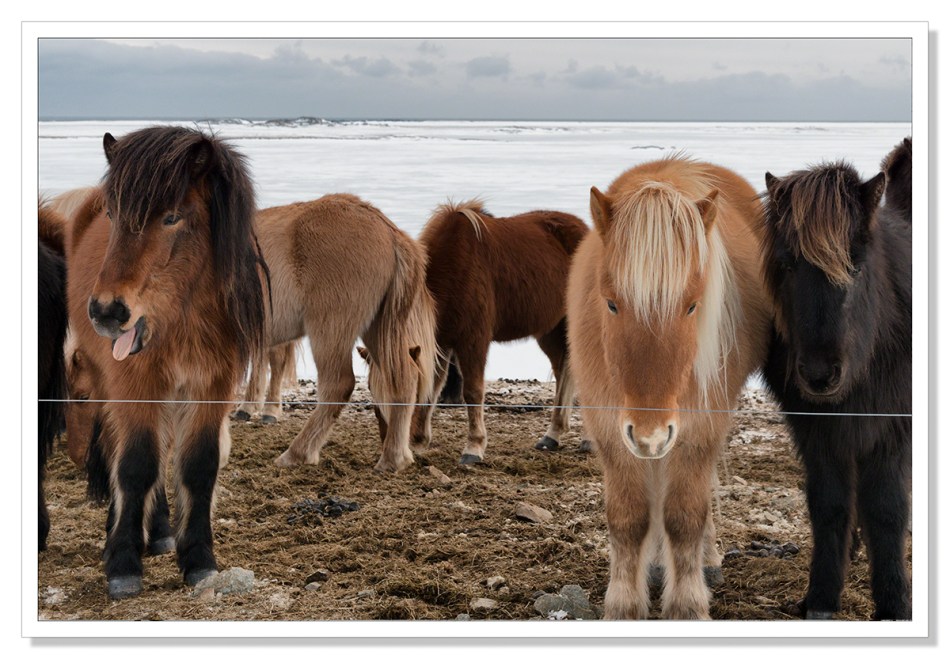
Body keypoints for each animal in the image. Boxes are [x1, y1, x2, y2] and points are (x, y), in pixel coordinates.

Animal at [61, 126, 268, 599]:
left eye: (172, 217)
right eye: (113, 215)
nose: (106, 312)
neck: (182, 317)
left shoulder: (210, 388)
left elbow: (198, 466)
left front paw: (198, 559)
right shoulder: (136, 385)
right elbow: (136, 466)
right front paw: (122, 563)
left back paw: (157, 534)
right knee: (121, 452)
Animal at [254, 195, 437, 472]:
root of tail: (390, 232)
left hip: (330, 330)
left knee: (337, 385)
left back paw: (297, 453)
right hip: (377, 330)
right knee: (406, 379)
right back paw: (394, 457)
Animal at [411, 200, 588, 464]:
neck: (455, 266)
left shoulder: (473, 340)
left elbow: (473, 391)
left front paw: (473, 448)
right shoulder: (441, 341)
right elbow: (433, 388)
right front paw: (419, 441)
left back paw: (588, 440)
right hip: (550, 330)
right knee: (563, 370)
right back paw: (552, 435)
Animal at [567, 156, 772, 619]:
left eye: (692, 306)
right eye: (611, 303)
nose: (651, 435)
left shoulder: (699, 427)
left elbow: (684, 517)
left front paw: (688, 604)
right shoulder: (610, 427)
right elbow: (628, 518)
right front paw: (623, 605)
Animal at [760, 146, 912, 620]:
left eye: (856, 266)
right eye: (788, 264)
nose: (819, 375)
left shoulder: (893, 429)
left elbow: (887, 509)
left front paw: (894, 604)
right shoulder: (818, 433)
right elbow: (828, 506)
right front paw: (821, 599)